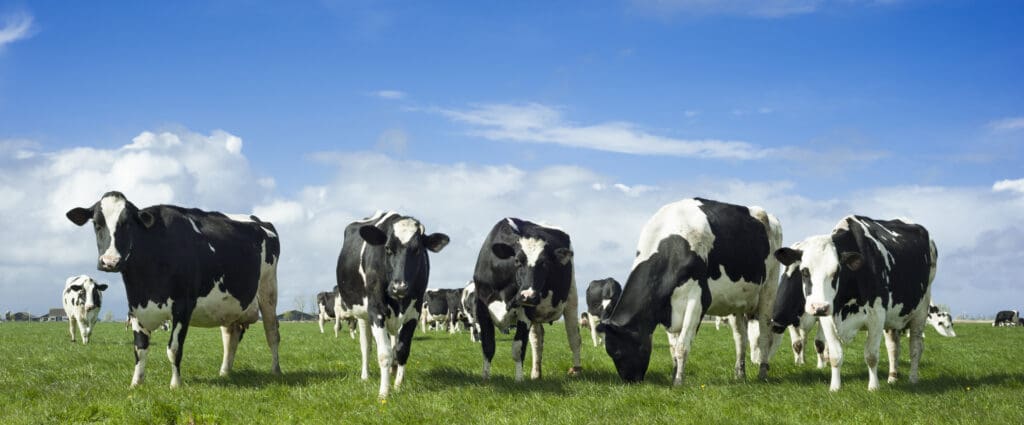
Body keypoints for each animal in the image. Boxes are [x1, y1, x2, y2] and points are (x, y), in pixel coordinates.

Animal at [67, 191, 282, 388]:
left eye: (127, 224)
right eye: (96, 223)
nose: (110, 262)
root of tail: (259, 221)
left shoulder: (183, 307)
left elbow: (174, 349)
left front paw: (175, 384)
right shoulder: (135, 307)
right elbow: (140, 348)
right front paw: (136, 383)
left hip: (268, 289)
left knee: (272, 333)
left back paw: (276, 370)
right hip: (229, 305)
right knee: (231, 337)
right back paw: (224, 372)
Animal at [334, 210, 449, 399]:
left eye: (417, 250)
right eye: (388, 248)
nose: (399, 287)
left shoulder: (414, 313)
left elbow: (402, 350)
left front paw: (398, 385)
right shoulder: (376, 310)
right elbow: (384, 353)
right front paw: (384, 392)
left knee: (394, 340)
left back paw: (393, 370)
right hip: (362, 315)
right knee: (366, 345)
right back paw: (365, 375)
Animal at [473, 218, 583, 381]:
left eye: (545, 263)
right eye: (517, 260)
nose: (528, 295)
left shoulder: (524, 313)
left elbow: (518, 348)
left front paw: (519, 380)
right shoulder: (482, 309)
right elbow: (488, 346)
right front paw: (485, 378)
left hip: (571, 297)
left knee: (574, 337)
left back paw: (576, 370)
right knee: (537, 339)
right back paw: (536, 374)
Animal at [597, 198, 783, 385]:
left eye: (617, 352)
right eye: (610, 352)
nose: (631, 381)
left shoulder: (698, 299)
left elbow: (682, 346)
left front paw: (678, 381)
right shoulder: (668, 307)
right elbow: (673, 348)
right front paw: (674, 375)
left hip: (769, 289)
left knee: (765, 334)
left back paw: (762, 373)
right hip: (736, 302)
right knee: (740, 337)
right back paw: (740, 374)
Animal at [773, 215, 937, 391]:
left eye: (836, 272)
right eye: (804, 272)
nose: (819, 307)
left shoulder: (877, 316)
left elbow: (871, 355)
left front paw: (873, 387)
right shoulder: (827, 319)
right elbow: (835, 356)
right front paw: (835, 388)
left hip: (921, 309)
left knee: (915, 346)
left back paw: (913, 379)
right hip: (894, 317)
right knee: (893, 347)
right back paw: (892, 378)